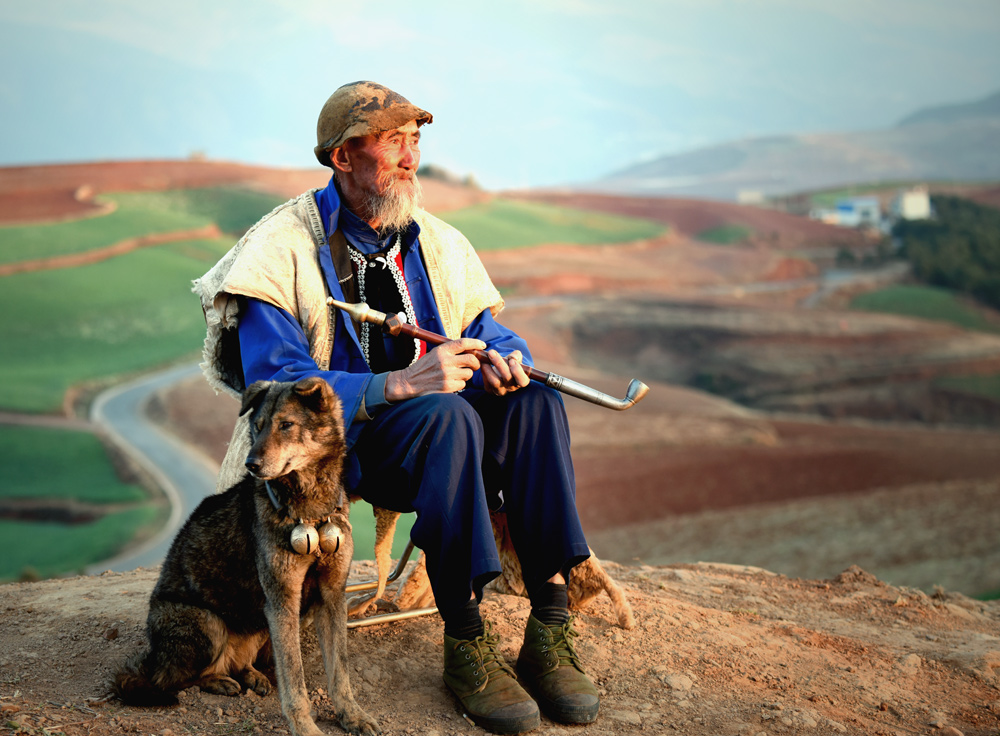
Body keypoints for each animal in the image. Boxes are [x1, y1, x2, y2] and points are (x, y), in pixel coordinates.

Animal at [112, 380, 378, 736]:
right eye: (257, 426)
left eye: (286, 425)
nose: (251, 464)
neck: (309, 509)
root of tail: (153, 658)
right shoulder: (283, 600)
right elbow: (294, 677)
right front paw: (305, 726)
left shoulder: (331, 597)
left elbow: (340, 671)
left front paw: (352, 716)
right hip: (208, 623)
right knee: (175, 680)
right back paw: (219, 682)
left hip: (265, 622)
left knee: (238, 664)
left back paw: (252, 676)